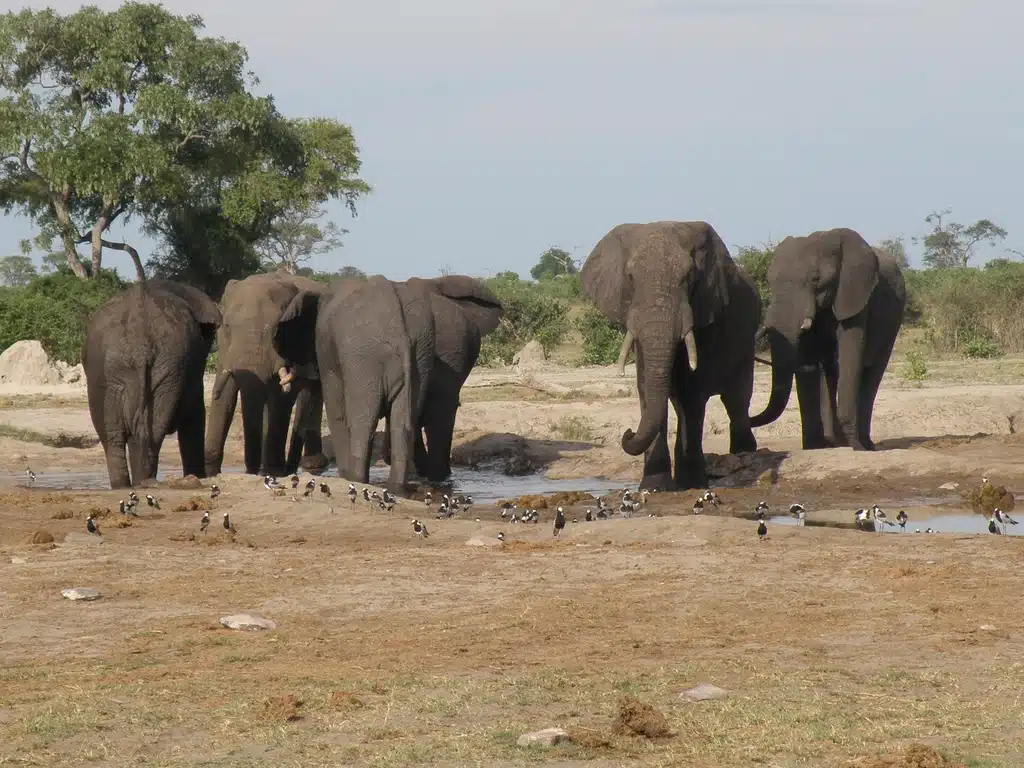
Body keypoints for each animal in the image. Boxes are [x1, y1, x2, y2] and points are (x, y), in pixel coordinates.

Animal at [82, 278, 221, 488]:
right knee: (141, 433)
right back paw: (140, 482)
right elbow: (195, 413)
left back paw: (129, 484)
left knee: (120, 434)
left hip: (124, 369)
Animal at [203, 270, 327, 478]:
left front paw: (272, 471)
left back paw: (309, 465)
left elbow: (282, 397)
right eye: (227, 326)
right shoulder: (225, 348)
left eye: (276, 328)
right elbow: (226, 394)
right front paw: (209, 471)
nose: (249, 471)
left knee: (310, 395)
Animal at [581, 221, 761, 491]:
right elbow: (647, 386)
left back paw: (744, 453)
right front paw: (654, 487)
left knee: (736, 399)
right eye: (630, 278)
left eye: (688, 277)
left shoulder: (705, 311)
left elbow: (692, 390)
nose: (628, 432)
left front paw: (692, 484)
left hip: (747, 345)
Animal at [749, 227, 906, 451]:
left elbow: (851, 356)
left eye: (816, 280)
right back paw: (835, 442)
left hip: (893, 323)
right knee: (832, 375)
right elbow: (808, 357)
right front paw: (813, 447)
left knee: (872, 373)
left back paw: (864, 445)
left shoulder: (855, 297)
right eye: (769, 280)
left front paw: (856, 447)